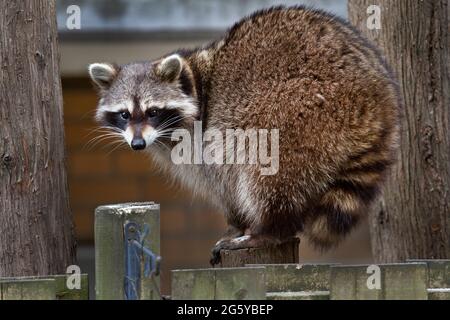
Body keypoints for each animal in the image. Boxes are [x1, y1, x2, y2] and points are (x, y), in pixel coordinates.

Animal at [89, 6, 400, 264]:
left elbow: (224, 179)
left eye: (153, 111)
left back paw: (271, 229)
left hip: (302, 107)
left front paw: (235, 223)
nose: (137, 143)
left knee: (267, 168)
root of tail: (380, 96)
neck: (195, 81)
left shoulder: (206, 136)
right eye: (124, 114)